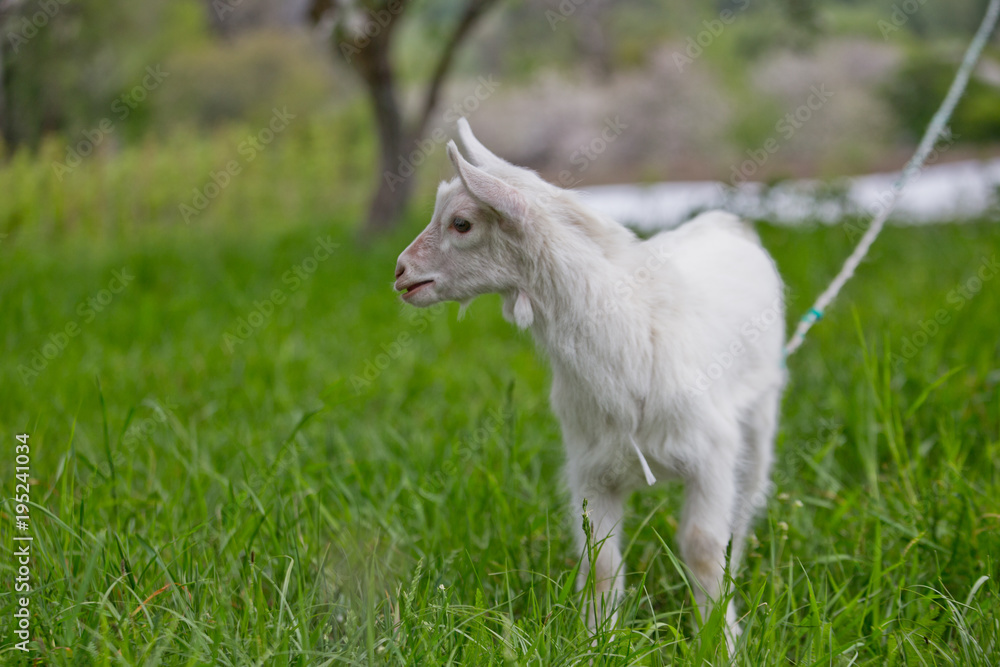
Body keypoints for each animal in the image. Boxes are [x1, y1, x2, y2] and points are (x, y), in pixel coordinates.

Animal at [393, 118, 786, 642]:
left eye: (461, 223)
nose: (401, 273)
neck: (632, 340)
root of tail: (724, 223)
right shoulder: (591, 467)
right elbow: (599, 560)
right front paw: (599, 640)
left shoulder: (711, 453)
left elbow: (703, 545)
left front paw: (717, 641)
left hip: (761, 411)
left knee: (745, 504)